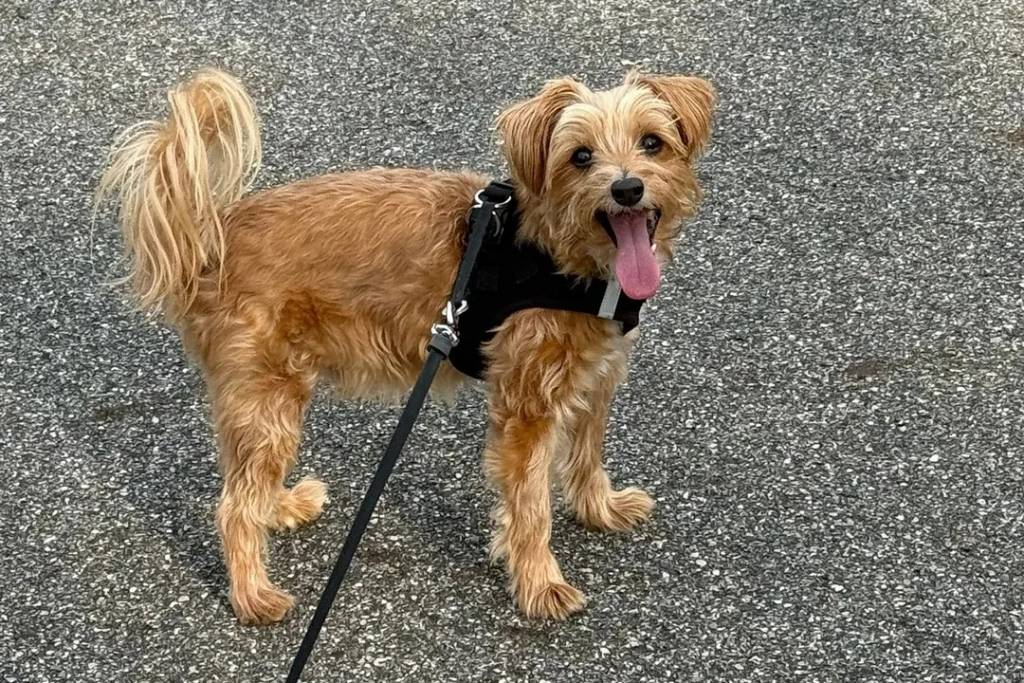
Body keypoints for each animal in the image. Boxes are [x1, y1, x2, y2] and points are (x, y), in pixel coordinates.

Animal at [98, 68, 715, 625]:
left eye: (652, 142)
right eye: (581, 156)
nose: (627, 188)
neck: (560, 253)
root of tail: (212, 242)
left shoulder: (595, 380)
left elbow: (587, 458)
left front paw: (601, 511)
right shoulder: (528, 408)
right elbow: (531, 505)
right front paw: (540, 584)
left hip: (255, 399)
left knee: (243, 479)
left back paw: (283, 506)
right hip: (269, 396)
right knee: (232, 507)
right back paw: (253, 596)